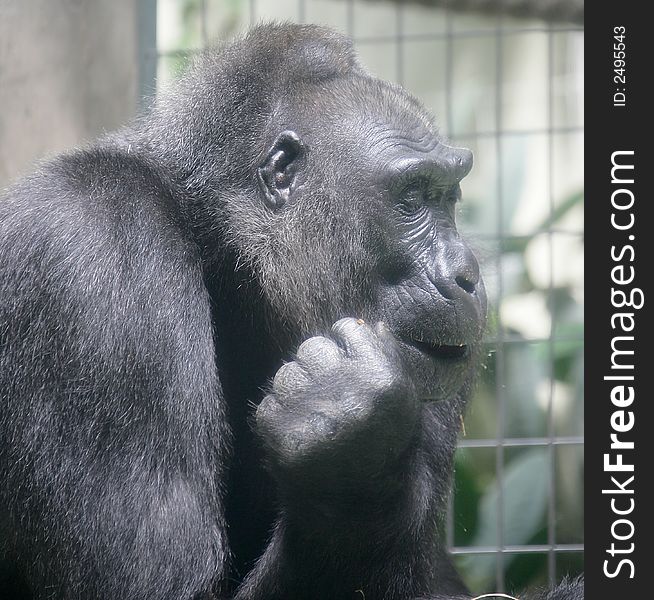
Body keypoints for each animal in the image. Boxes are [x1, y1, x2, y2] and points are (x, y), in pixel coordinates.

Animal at [0, 23, 584, 600]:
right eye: (413, 196)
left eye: (450, 196)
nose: (465, 273)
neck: (221, 247)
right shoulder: (96, 250)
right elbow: (158, 584)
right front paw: (350, 443)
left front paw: (350, 455)